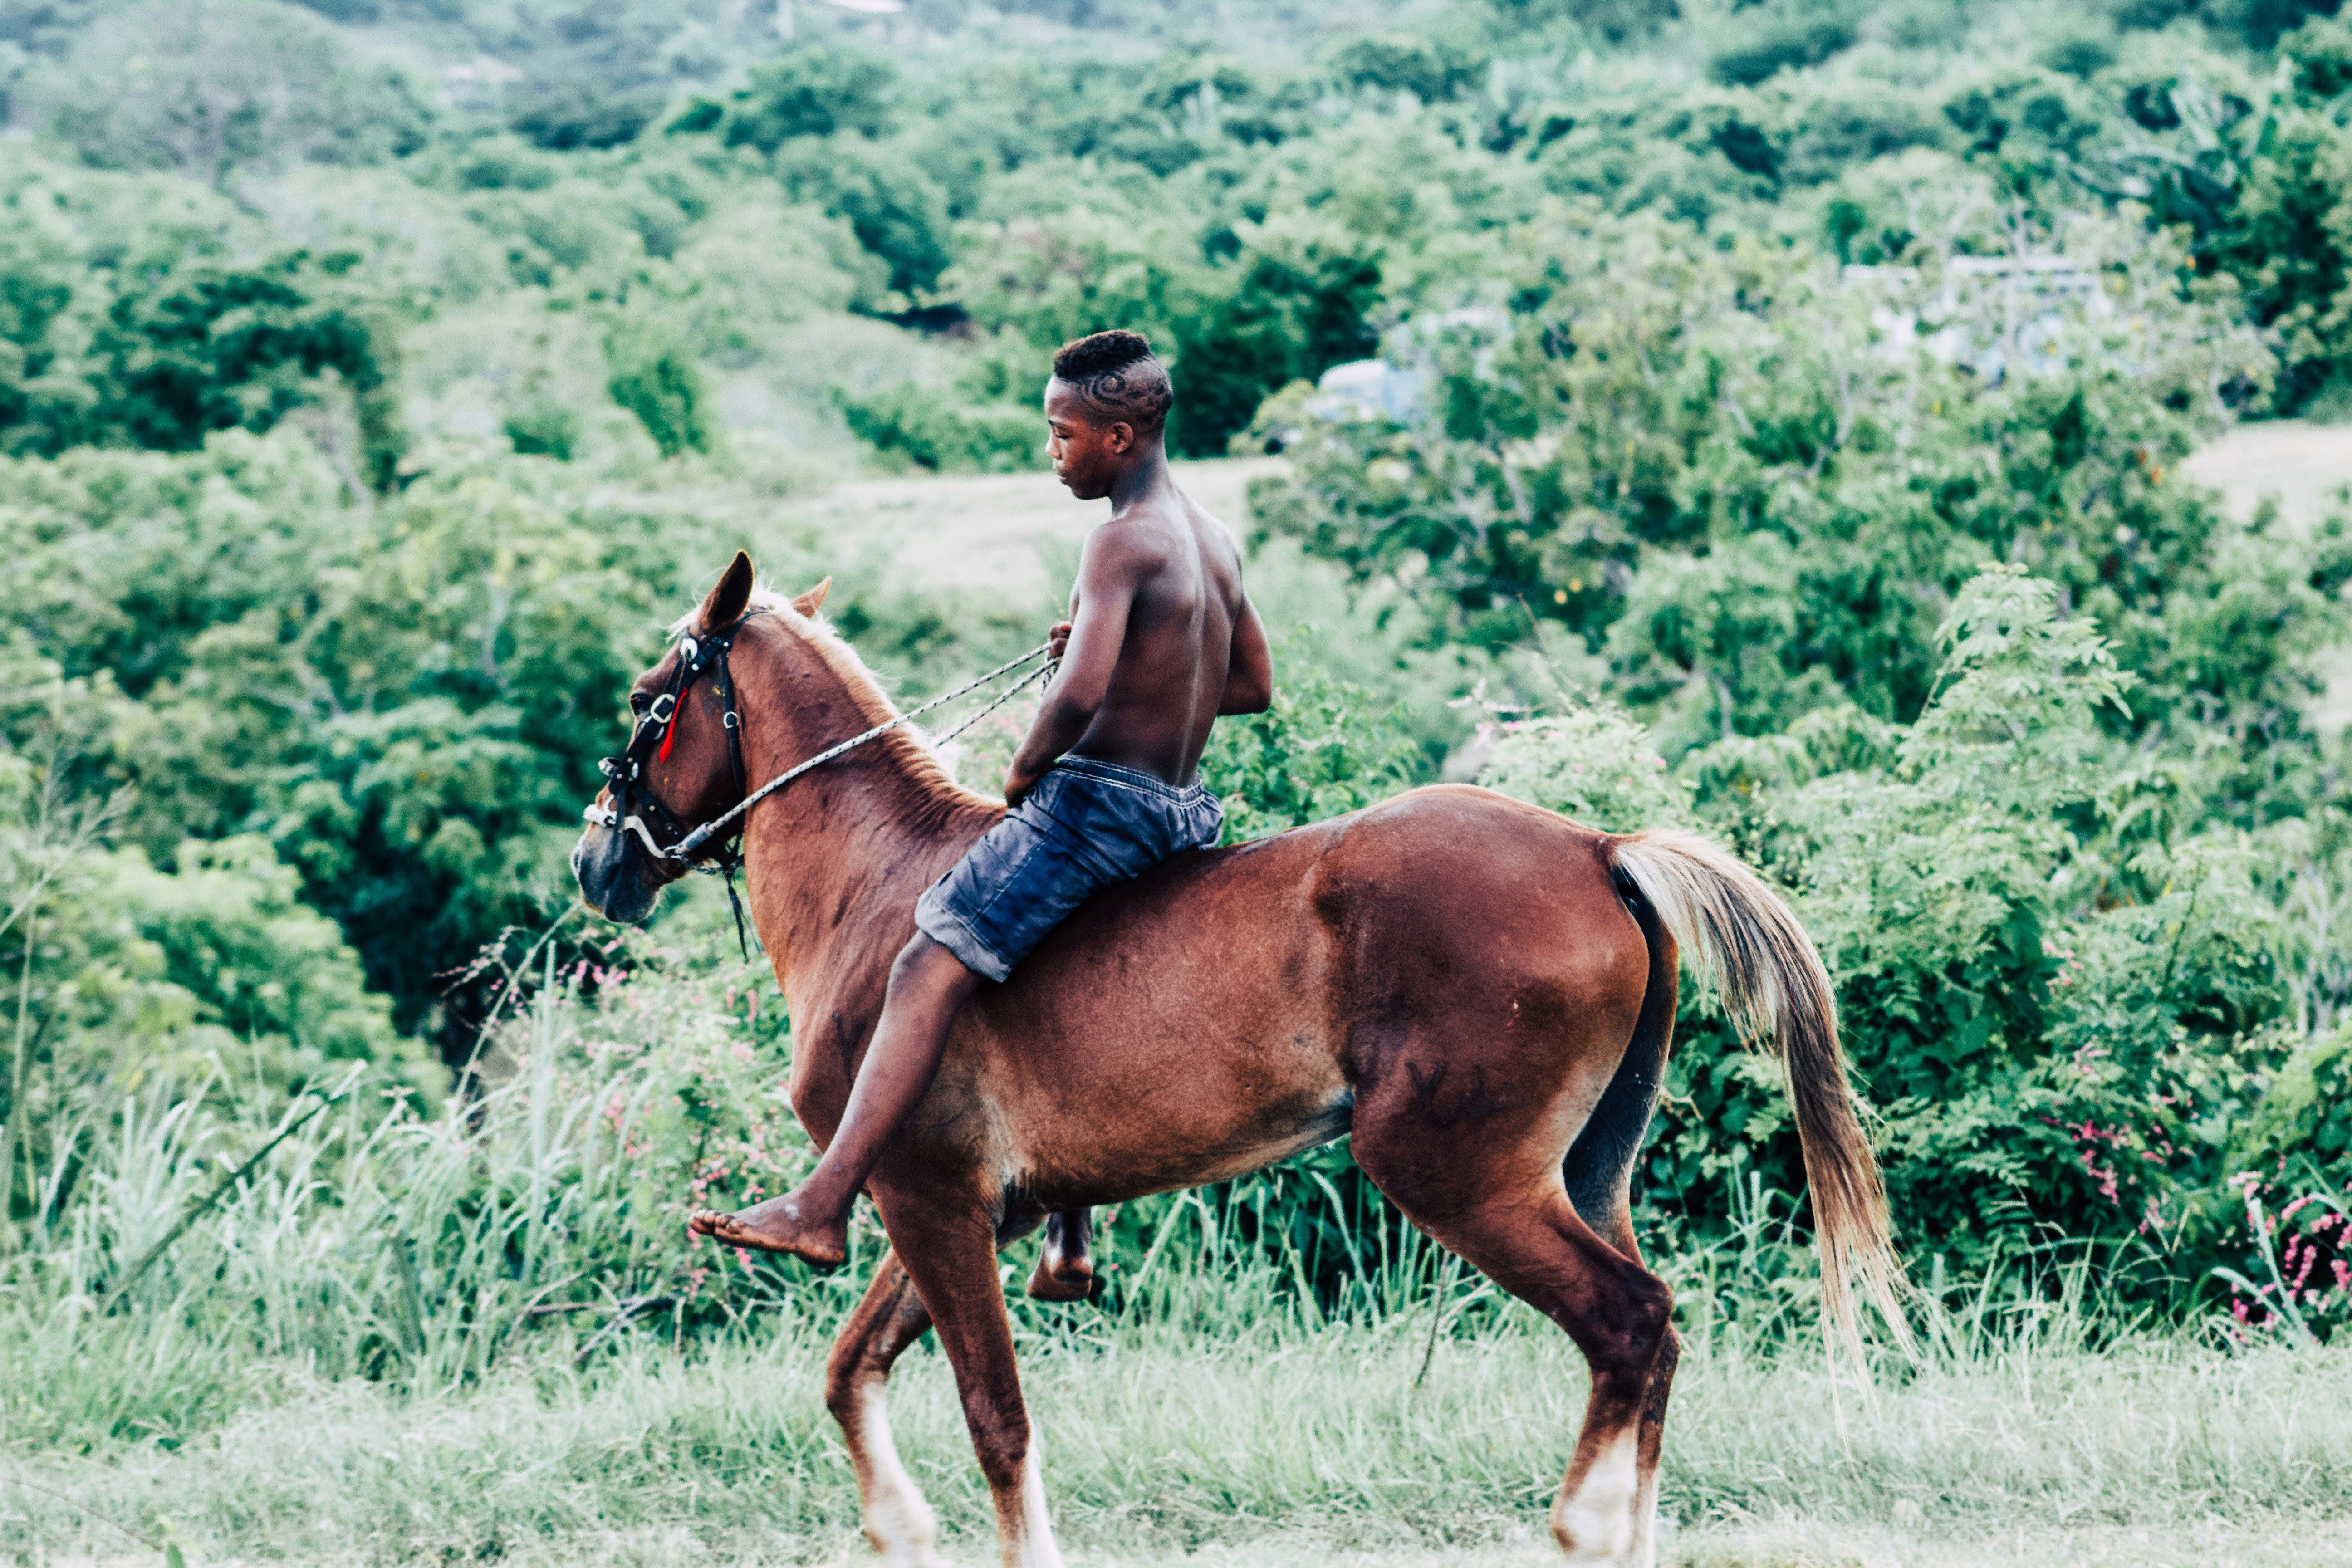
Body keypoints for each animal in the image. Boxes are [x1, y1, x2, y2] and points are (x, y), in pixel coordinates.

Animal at [571, 552, 1902, 1568]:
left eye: (647, 701)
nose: (596, 861)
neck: (875, 887)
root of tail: (1594, 848)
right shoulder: (964, 1210)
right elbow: (852, 1373)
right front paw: (896, 1527)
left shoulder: (926, 1198)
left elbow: (996, 1418)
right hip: (1582, 1173)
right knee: (1650, 1334)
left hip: (1461, 1177)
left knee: (1628, 1322)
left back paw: (1583, 1526)